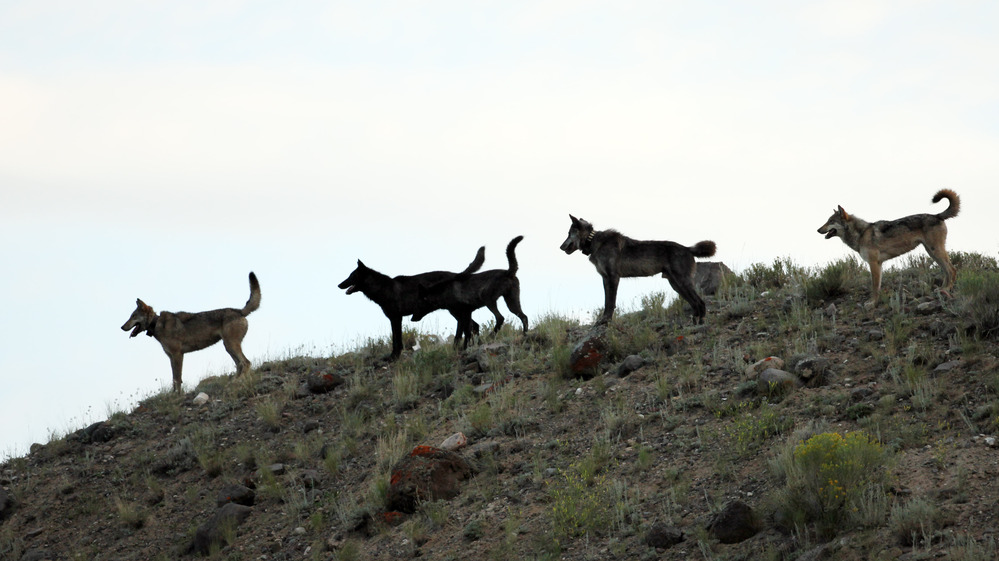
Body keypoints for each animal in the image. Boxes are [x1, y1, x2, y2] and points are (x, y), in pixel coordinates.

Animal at [121, 272, 261, 392]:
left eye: (133, 316)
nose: (122, 327)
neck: (157, 324)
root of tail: (239, 311)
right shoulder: (171, 357)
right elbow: (174, 379)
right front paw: (174, 395)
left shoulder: (178, 355)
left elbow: (177, 379)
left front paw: (177, 395)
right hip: (228, 347)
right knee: (240, 365)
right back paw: (233, 382)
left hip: (230, 345)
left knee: (246, 363)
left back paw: (238, 381)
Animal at [338, 247, 485, 359]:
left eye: (351, 276)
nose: (339, 285)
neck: (383, 289)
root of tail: (457, 274)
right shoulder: (394, 318)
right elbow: (396, 339)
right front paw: (394, 356)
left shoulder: (396, 318)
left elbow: (397, 340)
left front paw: (394, 356)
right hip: (455, 311)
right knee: (473, 325)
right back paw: (471, 345)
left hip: (454, 310)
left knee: (467, 325)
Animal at [560, 215, 717, 324]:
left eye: (568, 233)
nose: (560, 247)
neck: (593, 241)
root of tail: (687, 248)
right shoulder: (605, 279)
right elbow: (606, 302)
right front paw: (604, 319)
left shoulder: (613, 278)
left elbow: (610, 302)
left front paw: (606, 320)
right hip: (676, 285)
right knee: (694, 304)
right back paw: (694, 322)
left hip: (682, 283)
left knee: (700, 302)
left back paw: (701, 322)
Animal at [817, 189, 960, 303]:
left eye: (831, 221)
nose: (818, 230)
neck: (861, 234)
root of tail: (937, 216)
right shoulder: (878, 264)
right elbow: (878, 286)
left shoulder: (873, 263)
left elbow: (874, 287)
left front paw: (872, 303)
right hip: (932, 253)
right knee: (947, 271)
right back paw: (942, 289)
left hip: (935, 251)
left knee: (952, 270)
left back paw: (947, 289)